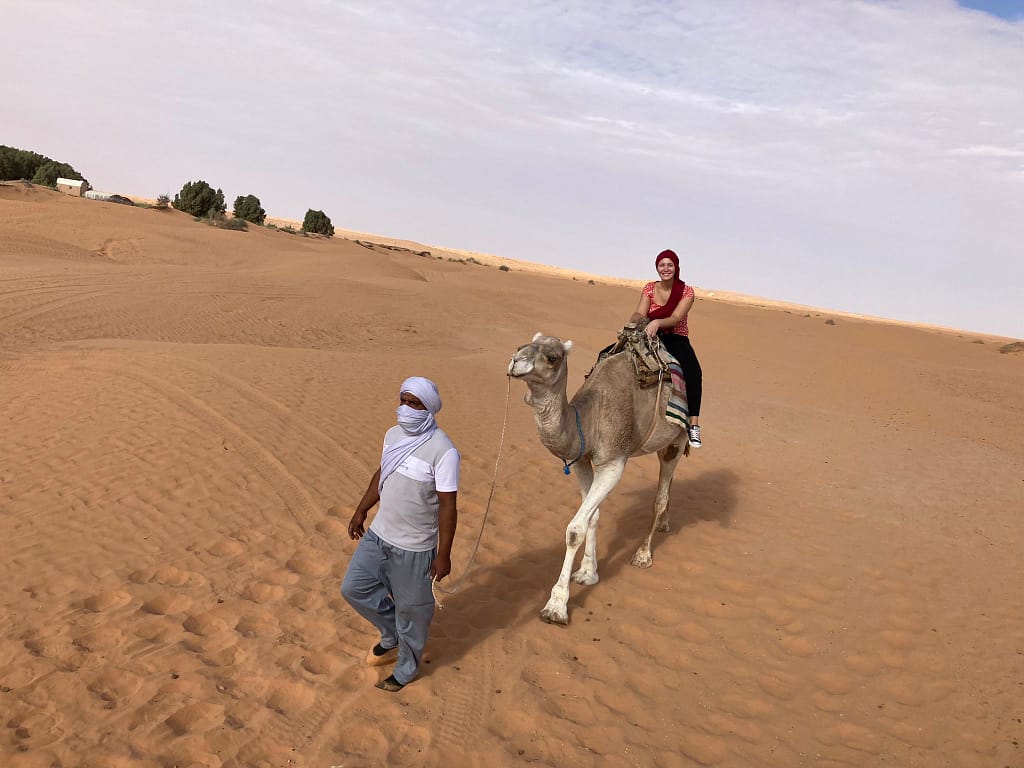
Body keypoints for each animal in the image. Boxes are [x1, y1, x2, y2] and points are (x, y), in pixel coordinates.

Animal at [507, 331, 689, 624]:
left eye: (553, 357)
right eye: (523, 345)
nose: (515, 361)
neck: (588, 420)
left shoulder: (613, 463)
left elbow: (574, 530)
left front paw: (556, 606)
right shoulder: (581, 460)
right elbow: (592, 517)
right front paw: (587, 572)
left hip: (678, 438)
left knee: (660, 494)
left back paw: (643, 554)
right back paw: (664, 524)